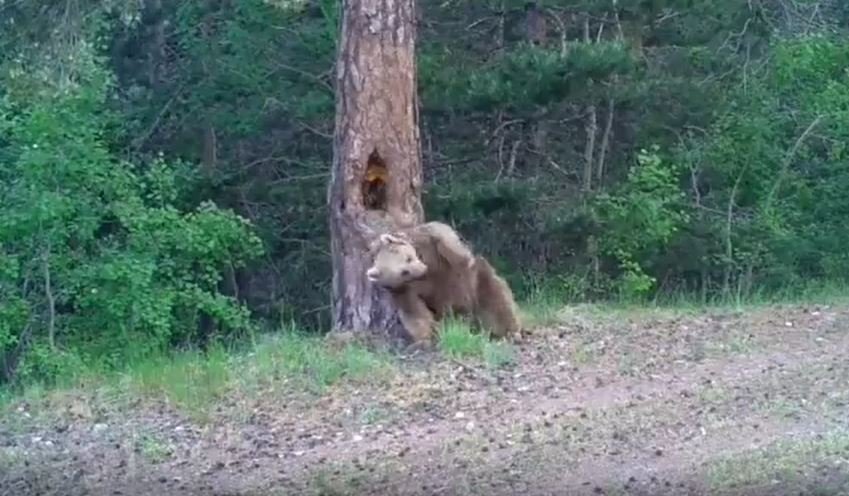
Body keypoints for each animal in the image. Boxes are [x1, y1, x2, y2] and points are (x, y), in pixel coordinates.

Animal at [366, 221, 520, 344]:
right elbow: (415, 312)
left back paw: (511, 333)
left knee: (498, 300)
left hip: (479, 283)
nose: (423, 270)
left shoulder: (428, 243)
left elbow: (444, 235)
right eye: (405, 272)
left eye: (408, 258)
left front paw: (464, 257)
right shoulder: (403, 290)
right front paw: (425, 337)